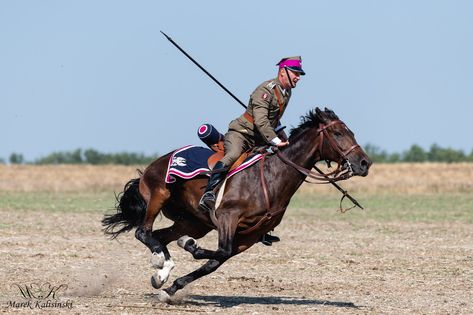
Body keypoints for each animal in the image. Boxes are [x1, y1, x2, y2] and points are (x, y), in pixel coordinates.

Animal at [101, 107, 370, 302]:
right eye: (338, 134)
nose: (364, 163)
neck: (271, 176)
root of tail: (159, 161)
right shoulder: (228, 218)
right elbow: (220, 252)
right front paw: (188, 248)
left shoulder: (250, 236)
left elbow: (218, 260)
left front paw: (171, 288)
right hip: (159, 195)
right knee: (143, 232)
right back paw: (161, 261)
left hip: (194, 222)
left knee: (160, 235)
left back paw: (162, 271)